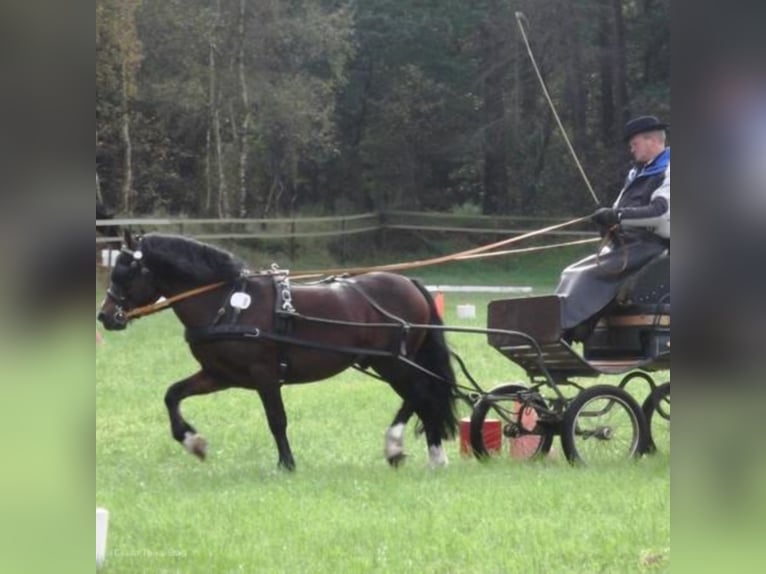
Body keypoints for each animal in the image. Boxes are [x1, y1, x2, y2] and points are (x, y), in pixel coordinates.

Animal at [97, 231, 458, 470]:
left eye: (126, 272)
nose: (105, 316)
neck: (227, 304)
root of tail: (411, 283)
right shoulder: (219, 374)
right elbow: (172, 394)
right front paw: (193, 442)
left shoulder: (265, 374)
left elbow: (276, 419)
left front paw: (287, 463)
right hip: (389, 363)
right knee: (422, 397)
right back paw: (428, 454)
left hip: (395, 363)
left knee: (421, 393)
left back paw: (400, 447)